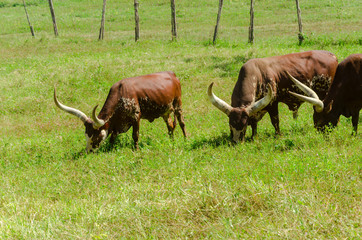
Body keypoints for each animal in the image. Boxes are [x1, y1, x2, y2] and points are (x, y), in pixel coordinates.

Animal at [55, 70, 189, 152]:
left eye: (95, 136)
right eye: (86, 135)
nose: (88, 152)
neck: (121, 95)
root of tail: (172, 74)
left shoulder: (136, 117)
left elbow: (135, 135)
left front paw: (136, 149)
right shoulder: (117, 123)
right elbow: (112, 137)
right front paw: (110, 148)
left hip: (178, 104)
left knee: (182, 123)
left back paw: (186, 139)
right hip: (165, 111)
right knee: (170, 126)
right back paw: (171, 141)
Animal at [208, 49, 338, 142]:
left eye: (244, 125)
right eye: (230, 124)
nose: (236, 141)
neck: (256, 75)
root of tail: (332, 55)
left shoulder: (272, 103)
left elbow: (275, 121)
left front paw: (278, 135)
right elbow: (254, 123)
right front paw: (254, 137)